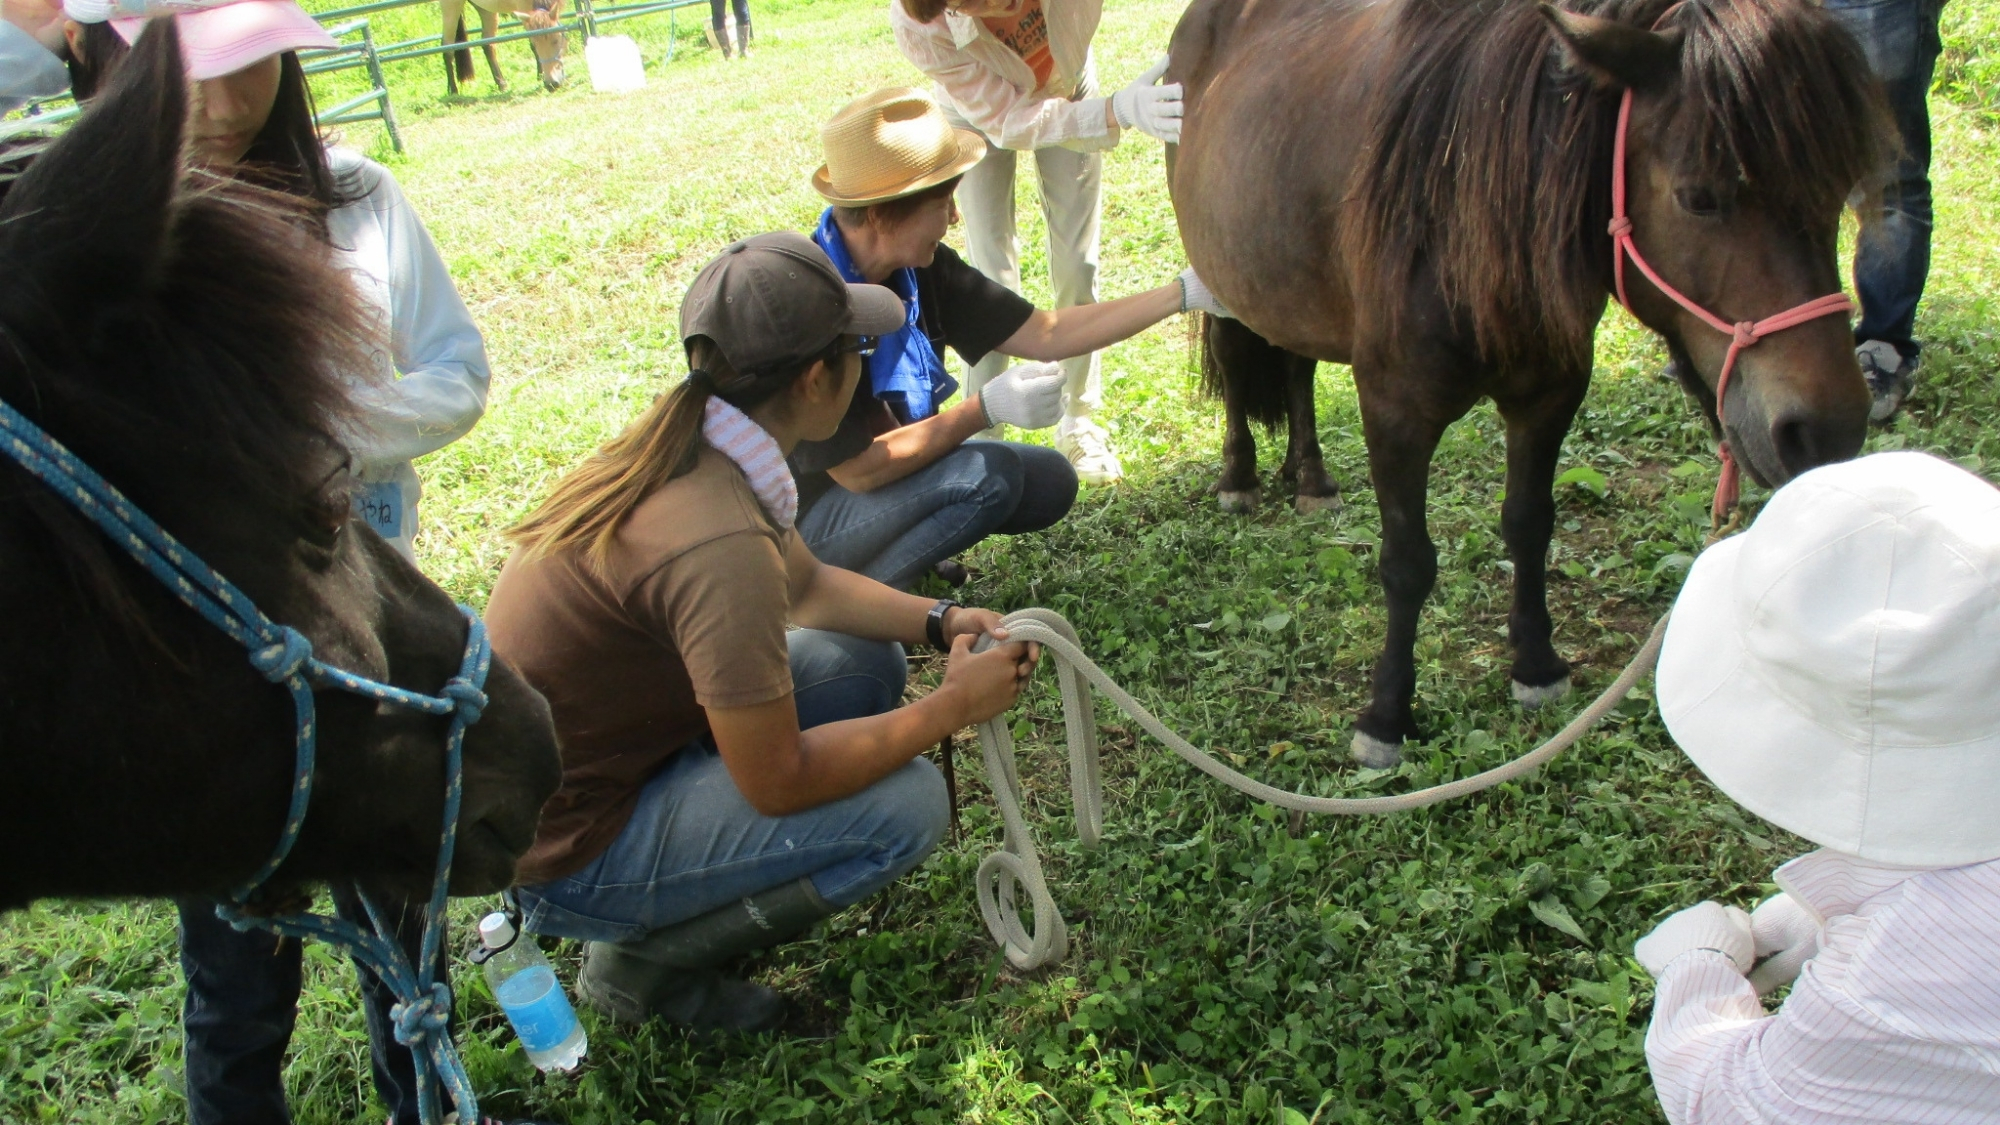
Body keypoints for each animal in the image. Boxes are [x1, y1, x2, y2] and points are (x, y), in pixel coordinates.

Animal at [1168, 0, 1880, 764]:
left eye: (1840, 190)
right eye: (1699, 198)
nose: (1826, 429)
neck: (1457, 214)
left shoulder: (1550, 394)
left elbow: (1529, 523)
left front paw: (1536, 665)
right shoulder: (1394, 410)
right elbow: (1407, 562)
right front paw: (1387, 714)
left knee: (1295, 363)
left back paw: (1311, 478)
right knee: (1237, 361)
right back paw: (1239, 475)